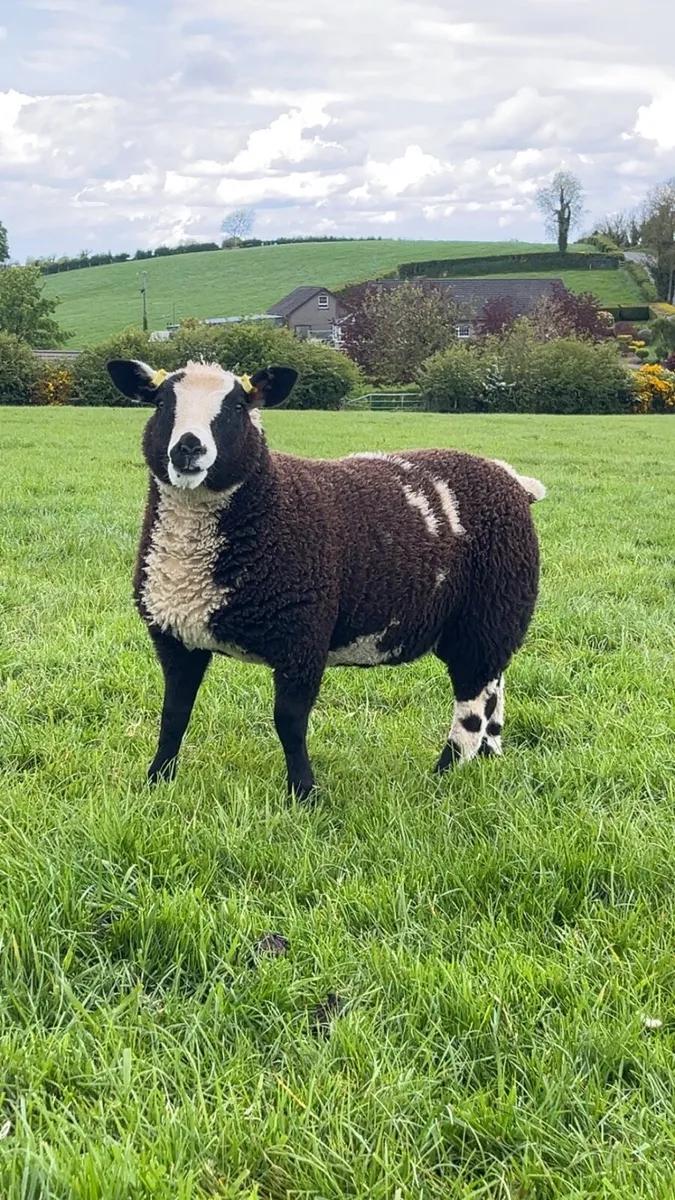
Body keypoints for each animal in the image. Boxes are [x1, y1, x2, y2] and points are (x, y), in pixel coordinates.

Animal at [107, 357, 546, 800]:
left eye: (237, 407)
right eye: (161, 403)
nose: (188, 448)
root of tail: (512, 480)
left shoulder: (303, 636)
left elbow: (289, 721)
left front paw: (303, 793)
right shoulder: (176, 637)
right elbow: (174, 714)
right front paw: (157, 781)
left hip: (490, 609)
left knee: (472, 701)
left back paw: (444, 773)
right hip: (488, 620)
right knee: (494, 685)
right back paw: (490, 755)